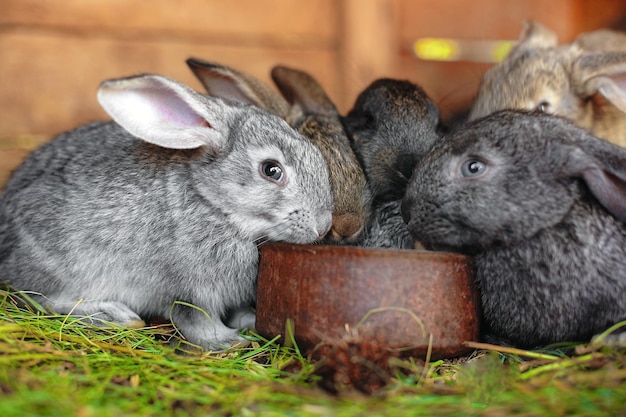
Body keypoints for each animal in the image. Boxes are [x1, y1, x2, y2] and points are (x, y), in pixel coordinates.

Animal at [0, 74, 332, 348]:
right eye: (271, 170)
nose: (323, 226)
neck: (214, 205)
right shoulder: (189, 289)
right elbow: (196, 320)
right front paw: (228, 341)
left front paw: (249, 321)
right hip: (60, 265)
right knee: (41, 300)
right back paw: (114, 315)